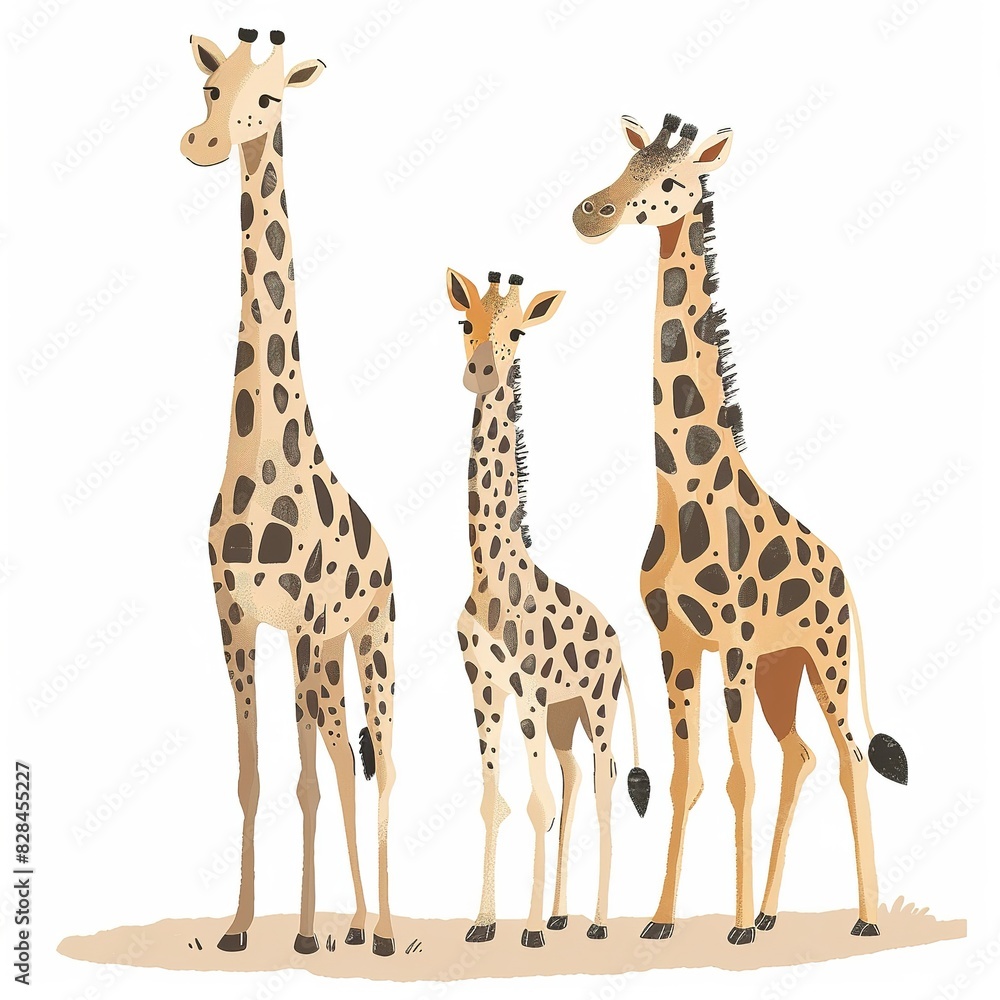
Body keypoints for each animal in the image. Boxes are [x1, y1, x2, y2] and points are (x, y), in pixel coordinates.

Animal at [446, 268, 650, 948]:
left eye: (517, 333)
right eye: (466, 323)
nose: (482, 371)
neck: (488, 576)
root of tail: (615, 637)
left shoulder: (527, 688)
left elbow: (533, 803)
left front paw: (528, 930)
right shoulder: (483, 684)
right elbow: (498, 800)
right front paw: (485, 922)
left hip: (595, 707)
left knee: (604, 790)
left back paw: (596, 921)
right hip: (564, 718)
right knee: (571, 783)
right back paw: (563, 912)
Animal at [572, 114, 908, 945]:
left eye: (670, 181)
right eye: (626, 164)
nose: (591, 212)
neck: (681, 490)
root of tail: (844, 575)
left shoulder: (733, 642)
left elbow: (736, 776)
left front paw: (731, 928)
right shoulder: (676, 643)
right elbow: (686, 775)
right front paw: (662, 920)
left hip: (820, 656)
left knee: (848, 758)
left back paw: (858, 918)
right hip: (783, 668)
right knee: (802, 757)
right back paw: (769, 910)